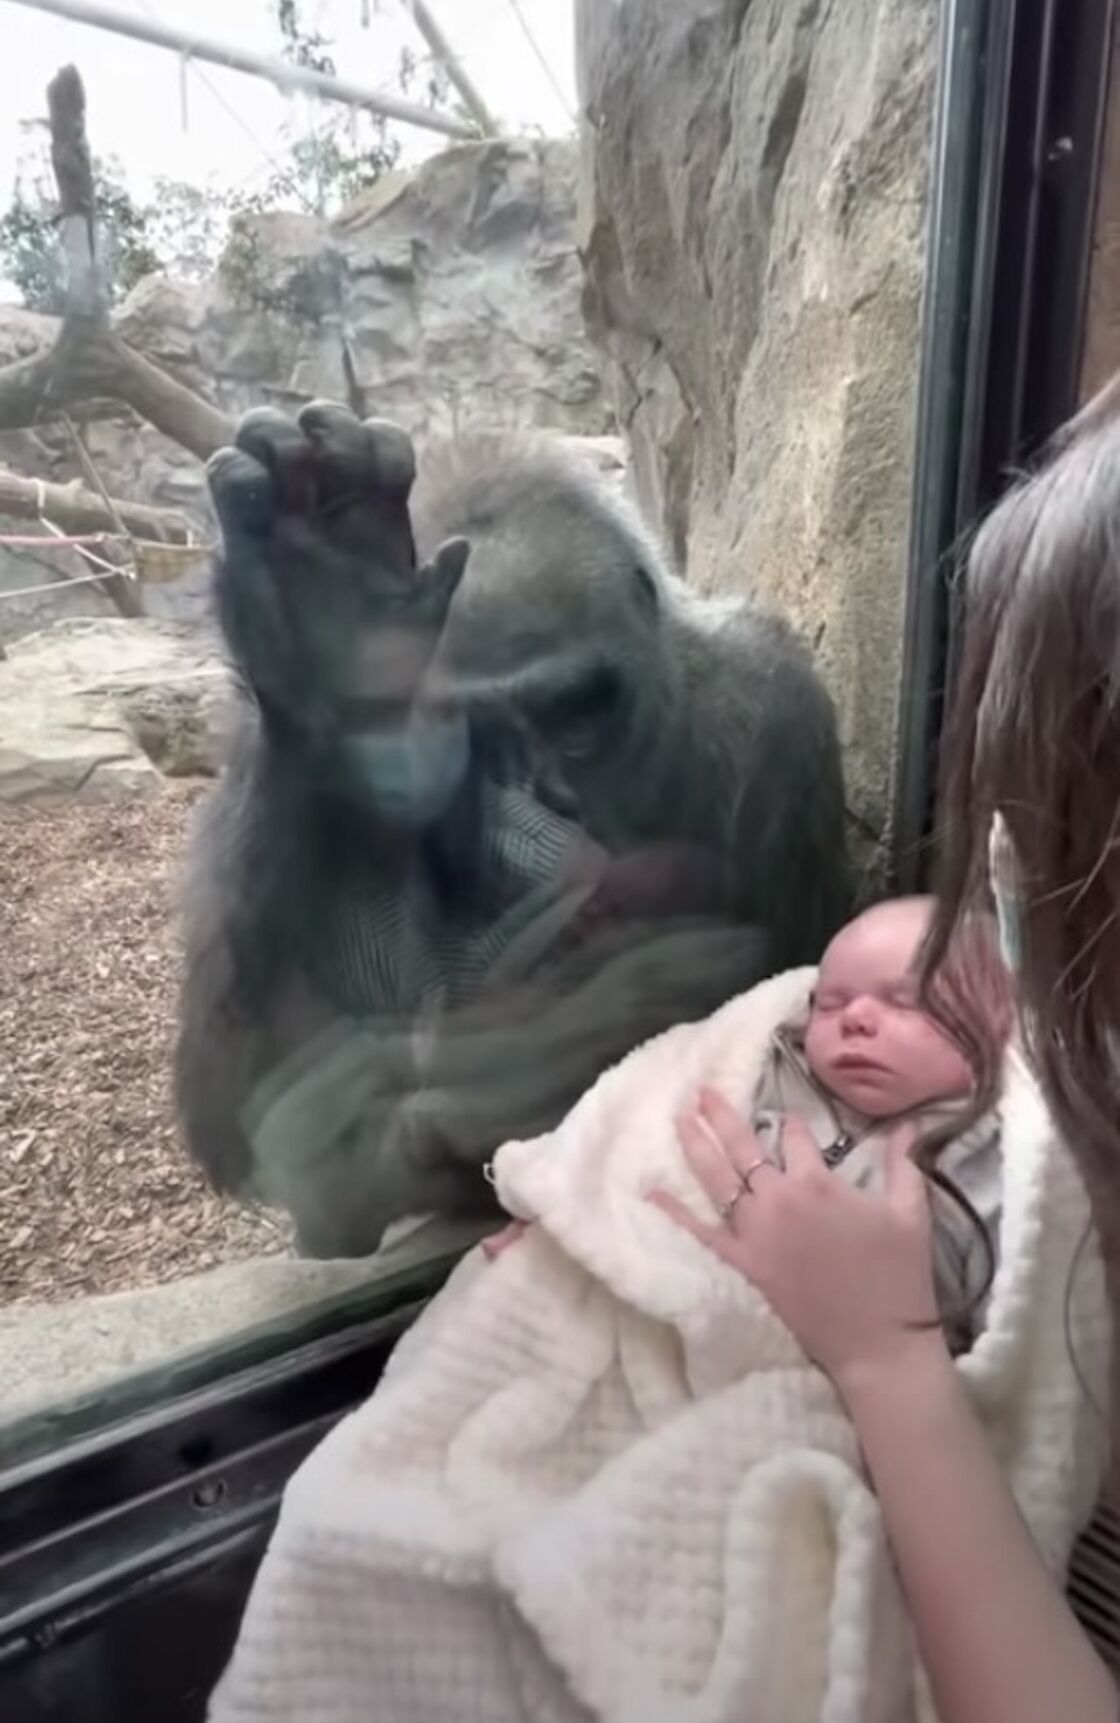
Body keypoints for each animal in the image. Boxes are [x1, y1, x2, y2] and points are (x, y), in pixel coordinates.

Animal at [176, 399, 847, 1254]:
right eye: (473, 732)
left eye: (575, 712)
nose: (549, 800)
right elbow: (238, 1112)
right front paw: (325, 637)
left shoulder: (774, 704)